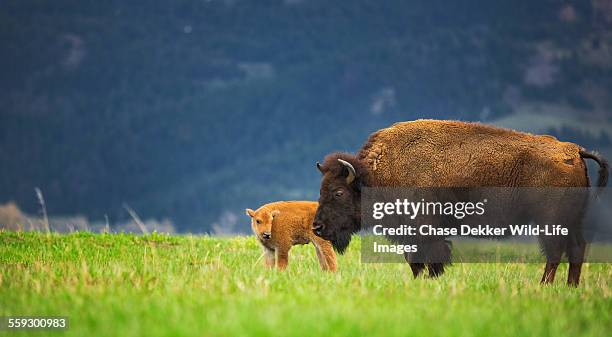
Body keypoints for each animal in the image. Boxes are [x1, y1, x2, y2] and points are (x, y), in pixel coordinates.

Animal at [314, 119, 608, 284]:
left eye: (338, 192)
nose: (317, 227)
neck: (375, 174)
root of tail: (573, 150)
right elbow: (414, 260)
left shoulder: (425, 230)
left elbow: (429, 258)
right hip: (572, 220)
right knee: (576, 250)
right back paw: (571, 287)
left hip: (551, 221)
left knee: (555, 252)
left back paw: (544, 286)